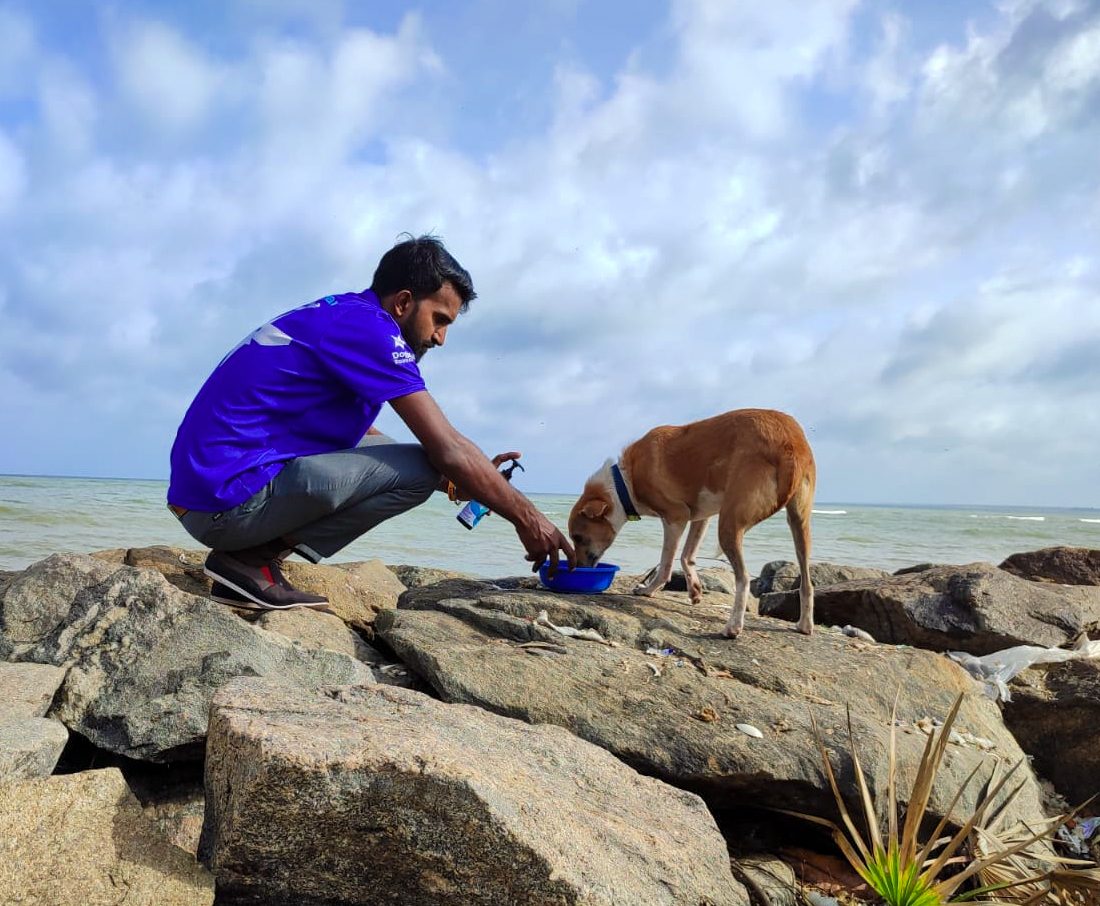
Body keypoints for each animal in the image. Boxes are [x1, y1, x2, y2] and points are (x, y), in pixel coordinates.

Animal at [572, 409, 814, 637]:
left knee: (744, 578)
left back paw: (733, 627)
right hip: (799, 523)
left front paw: (649, 590)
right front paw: (695, 591)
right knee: (807, 583)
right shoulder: (701, 517)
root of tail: (790, 444)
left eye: (578, 537)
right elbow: (687, 556)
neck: (624, 481)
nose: (576, 568)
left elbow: (666, 564)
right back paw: (804, 625)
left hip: (729, 523)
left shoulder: (675, 517)